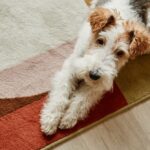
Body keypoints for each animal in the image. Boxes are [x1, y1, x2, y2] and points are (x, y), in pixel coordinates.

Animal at [40, 0, 150, 135]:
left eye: (120, 53)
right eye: (100, 41)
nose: (93, 74)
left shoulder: (98, 83)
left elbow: (81, 100)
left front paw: (69, 118)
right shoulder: (70, 69)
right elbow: (60, 96)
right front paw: (50, 120)